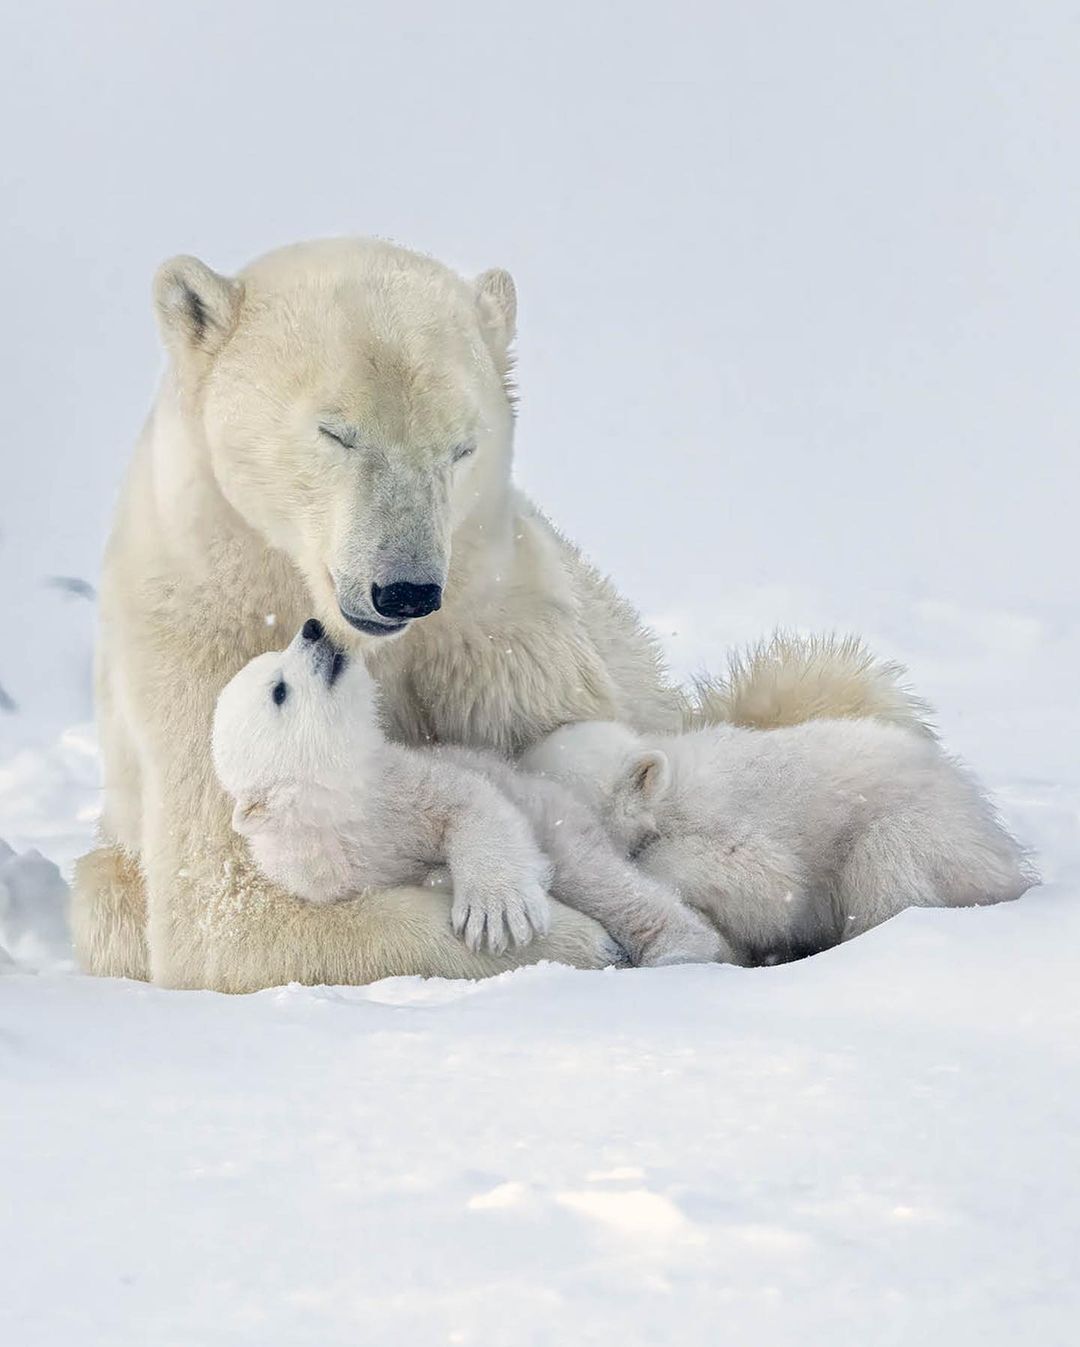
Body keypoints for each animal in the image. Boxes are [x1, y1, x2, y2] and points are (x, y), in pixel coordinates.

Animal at [212, 619, 721, 969]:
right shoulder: (323, 871)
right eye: (279, 689)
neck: (345, 811)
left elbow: (469, 803)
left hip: (555, 813)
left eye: (276, 661)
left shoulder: (404, 783)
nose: (313, 628)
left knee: (598, 880)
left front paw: (495, 910)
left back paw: (679, 948)